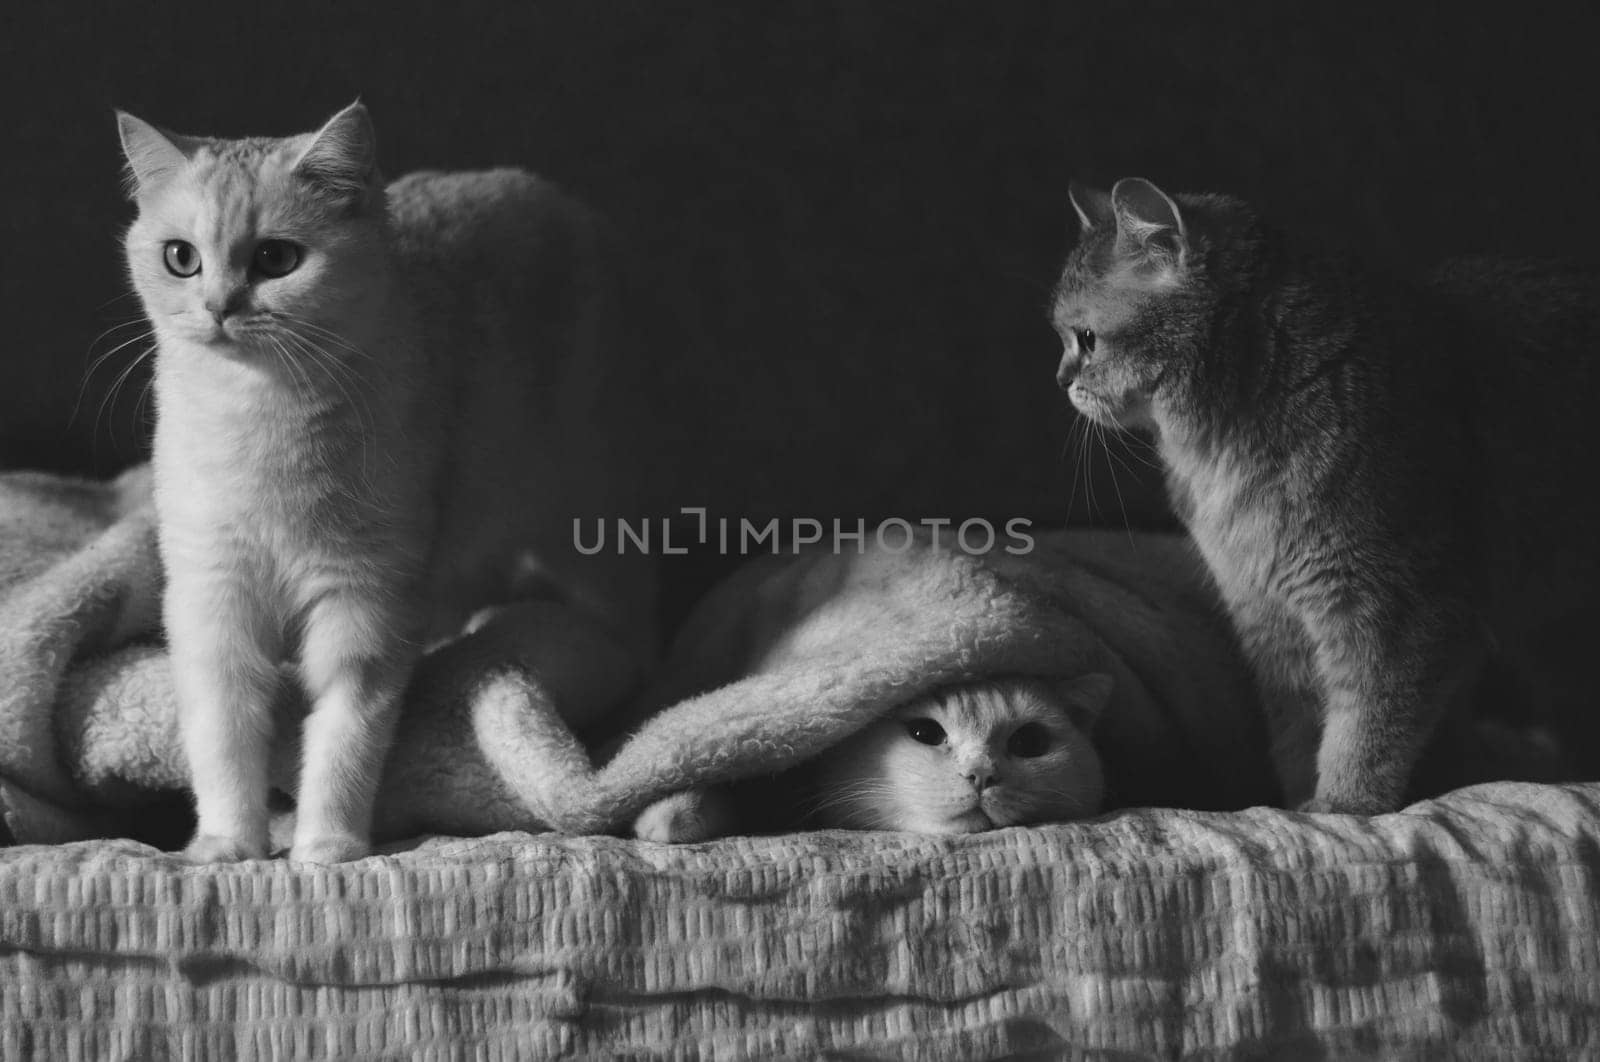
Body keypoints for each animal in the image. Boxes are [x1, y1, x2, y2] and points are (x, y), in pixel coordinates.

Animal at [116, 101, 656, 863]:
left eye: (276, 259)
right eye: (180, 258)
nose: (220, 306)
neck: (258, 417)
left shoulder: (365, 603)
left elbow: (345, 740)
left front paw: (327, 845)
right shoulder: (212, 598)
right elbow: (222, 738)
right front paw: (229, 844)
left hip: (592, 525)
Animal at [1049, 180, 1600, 812]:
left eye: (1087, 339)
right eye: (1064, 339)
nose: (1061, 380)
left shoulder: (1397, 611)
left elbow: (1366, 726)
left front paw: (1343, 803)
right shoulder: (1270, 620)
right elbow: (1299, 732)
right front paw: (1294, 807)